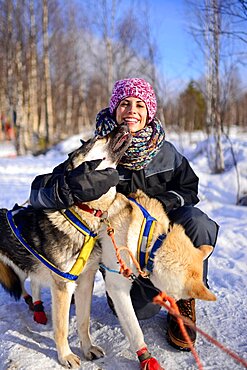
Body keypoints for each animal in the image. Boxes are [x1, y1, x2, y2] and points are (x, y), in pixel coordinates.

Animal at [0, 123, 132, 368]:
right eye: (98, 137)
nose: (123, 124)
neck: (84, 212)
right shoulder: (63, 286)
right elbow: (61, 328)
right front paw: (65, 356)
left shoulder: (85, 281)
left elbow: (83, 321)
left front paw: (87, 349)